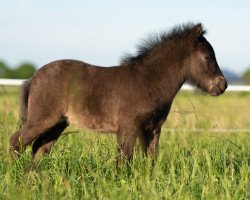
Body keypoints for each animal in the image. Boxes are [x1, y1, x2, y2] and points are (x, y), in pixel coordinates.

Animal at [10, 22, 228, 162]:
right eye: (208, 57)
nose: (222, 85)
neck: (147, 81)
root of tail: (33, 77)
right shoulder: (128, 127)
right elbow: (124, 161)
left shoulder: (152, 129)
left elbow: (151, 161)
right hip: (42, 119)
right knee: (17, 141)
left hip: (58, 123)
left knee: (40, 148)